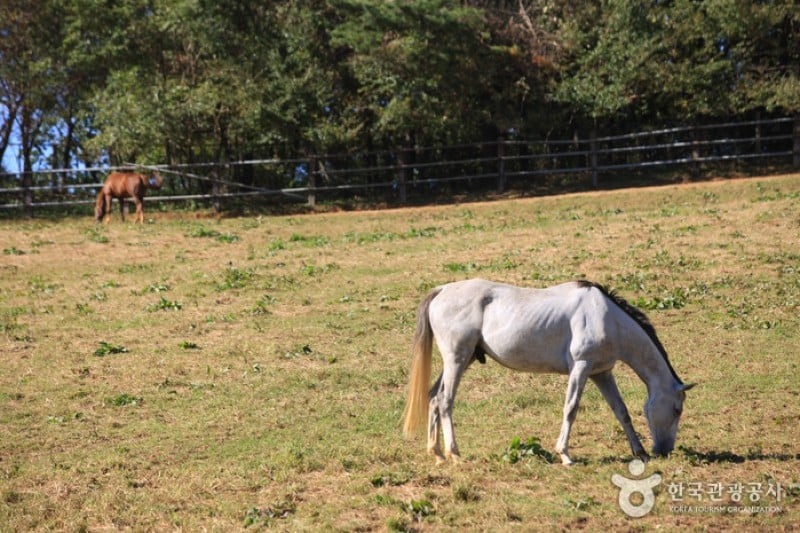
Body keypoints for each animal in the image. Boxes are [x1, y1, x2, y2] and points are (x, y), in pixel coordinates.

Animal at [403, 278, 694, 465]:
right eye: (677, 409)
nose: (664, 451)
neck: (607, 316)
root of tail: (442, 290)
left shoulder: (602, 372)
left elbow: (621, 411)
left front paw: (639, 451)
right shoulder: (581, 367)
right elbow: (571, 408)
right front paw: (565, 454)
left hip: (461, 361)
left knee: (433, 398)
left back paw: (436, 453)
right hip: (456, 360)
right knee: (445, 401)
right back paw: (453, 453)